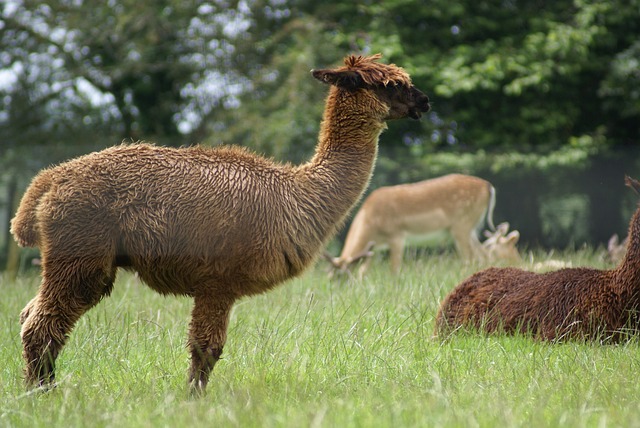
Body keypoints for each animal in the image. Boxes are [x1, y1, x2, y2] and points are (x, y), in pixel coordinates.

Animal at [328, 174, 498, 278]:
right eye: (330, 276)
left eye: (340, 276)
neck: (371, 222)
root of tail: (488, 186)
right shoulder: (375, 249)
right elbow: (363, 271)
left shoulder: (397, 235)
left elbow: (394, 269)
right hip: (472, 228)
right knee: (483, 255)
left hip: (461, 225)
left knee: (470, 258)